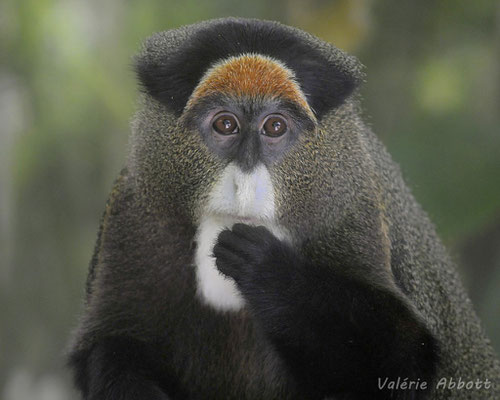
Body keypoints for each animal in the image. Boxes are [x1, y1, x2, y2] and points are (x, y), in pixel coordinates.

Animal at [67, 18, 500, 400]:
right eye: (225, 125)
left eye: (274, 127)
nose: (244, 182)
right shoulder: (134, 209)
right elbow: (112, 346)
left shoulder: (353, 209)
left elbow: (406, 354)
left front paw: (269, 270)